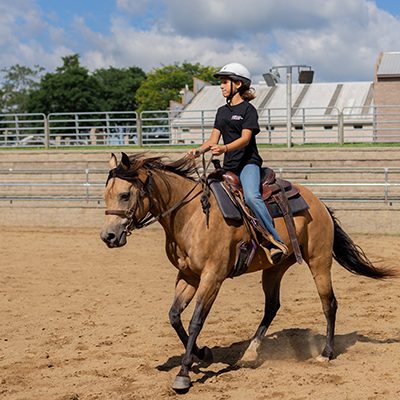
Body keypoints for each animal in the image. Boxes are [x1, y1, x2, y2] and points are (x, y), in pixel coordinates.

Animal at [100, 152, 394, 392]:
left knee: (328, 303)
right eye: (105, 195)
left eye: (125, 195)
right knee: (272, 306)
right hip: (274, 269)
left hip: (319, 260)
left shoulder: (212, 278)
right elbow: (174, 316)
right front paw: (202, 354)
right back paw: (251, 353)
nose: (108, 236)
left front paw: (183, 374)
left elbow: (195, 321)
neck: (192, 215)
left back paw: (326, 353)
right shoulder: (188, 276)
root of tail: (319, 203)